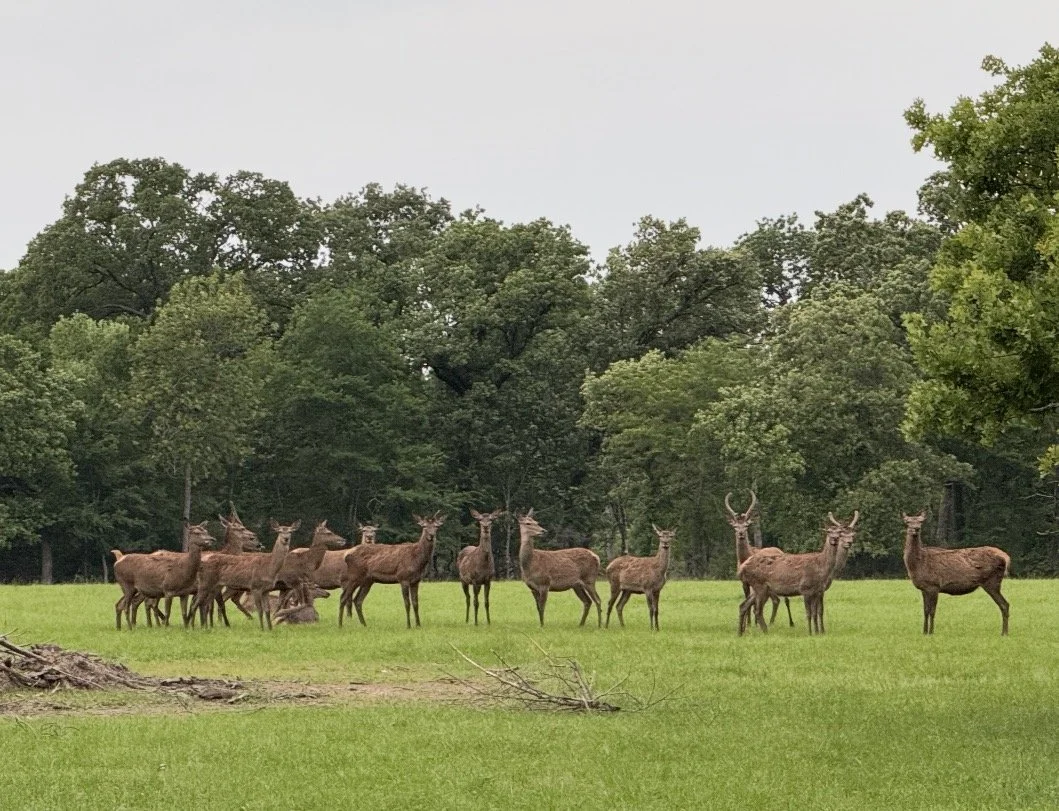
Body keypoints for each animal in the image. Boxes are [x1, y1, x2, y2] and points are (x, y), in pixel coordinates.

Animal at [725, 491, 792, 627]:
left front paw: (753, 623)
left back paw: (788, 622)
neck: (745, 558)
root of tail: (780, 550)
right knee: (776, 600)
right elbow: (749, 601)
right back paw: (771, 621)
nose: (741, 534)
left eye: (746, 525)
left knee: (783, 599)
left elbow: (754, 602)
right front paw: (749, 624)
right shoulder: (744, 582)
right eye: (735, 526)